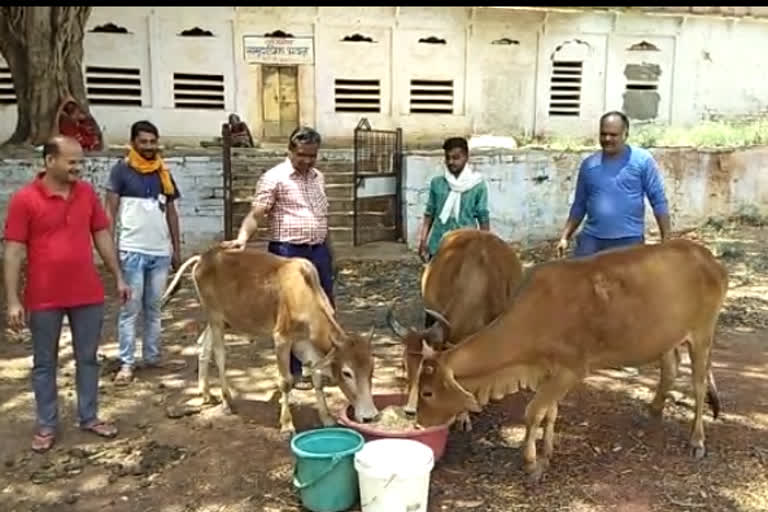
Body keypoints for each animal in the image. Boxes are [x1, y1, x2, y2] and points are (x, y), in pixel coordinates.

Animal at [161, 246, 378, 434]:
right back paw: (227, 401)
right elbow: (286, 381)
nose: (371, 416)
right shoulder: (281, 339)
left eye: (371, 369)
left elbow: (317, 379)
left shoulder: (304, 344)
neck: (304, 295)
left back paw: (206, 393)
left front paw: (326, 417)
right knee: (219, 355)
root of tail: (204, 257)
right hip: (214, 317)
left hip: (222, 321)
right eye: (347, 373)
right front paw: (287, 424)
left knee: (203, 347)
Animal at [414, 239, 728, 480]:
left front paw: (531, 463)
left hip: (703, 334)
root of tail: (709, 258)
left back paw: (697, 440)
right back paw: (654, 409)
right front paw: (547, 454)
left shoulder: (570, 370)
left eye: (427, 391)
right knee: (671, 367)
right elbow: (549, 412)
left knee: (700, 385)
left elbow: (533, 411)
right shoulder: (548, 371)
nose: (419, 423)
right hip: (670, 338)